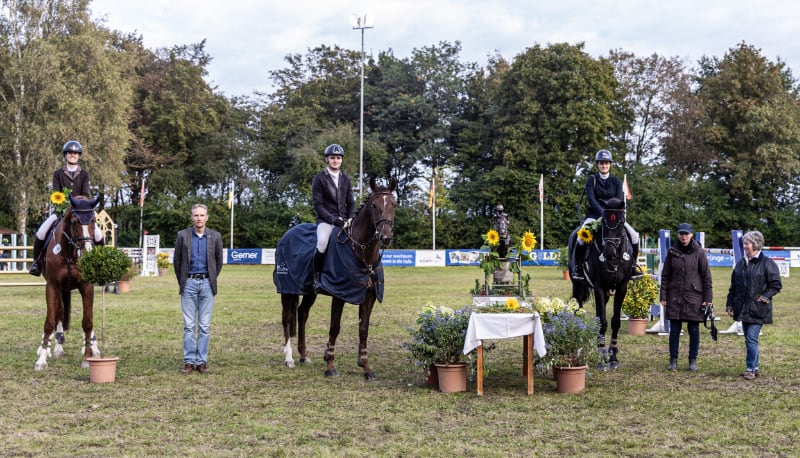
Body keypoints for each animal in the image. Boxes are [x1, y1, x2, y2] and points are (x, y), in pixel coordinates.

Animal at [34, 195, 101, 370]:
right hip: (61, 289)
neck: (70, 253)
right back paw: (54, 347)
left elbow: (88, 322)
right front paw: (42, 359)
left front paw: (87, 357)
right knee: (59, 313)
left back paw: (93, 347)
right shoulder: (53, 286)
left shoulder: (87, 286)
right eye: (75, 222)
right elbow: (50, 321)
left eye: (94, 221)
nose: (87, 254)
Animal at [276, 175, 396, 380]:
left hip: (310, 292)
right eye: (374, 205)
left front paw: (366, 368)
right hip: (288, 289)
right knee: (288, 319)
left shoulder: (369, 296)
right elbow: (334, 327)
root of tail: (287, 235)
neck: (362, 254)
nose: (385, 237)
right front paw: (330, 366)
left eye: (393, 204)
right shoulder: (340, 294)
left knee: (302, 314)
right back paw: (289, 359)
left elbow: (364, 329)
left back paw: (304, 355)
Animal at [568, 199, 636, 370]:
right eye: (604, 222)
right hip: (578, 285)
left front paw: (613, 357)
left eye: (621, 222)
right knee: (578, 309)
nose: (610, 254)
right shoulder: (598, 287)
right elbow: (603, 322)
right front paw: (601, 357)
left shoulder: (622, 288)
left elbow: (615, 321)